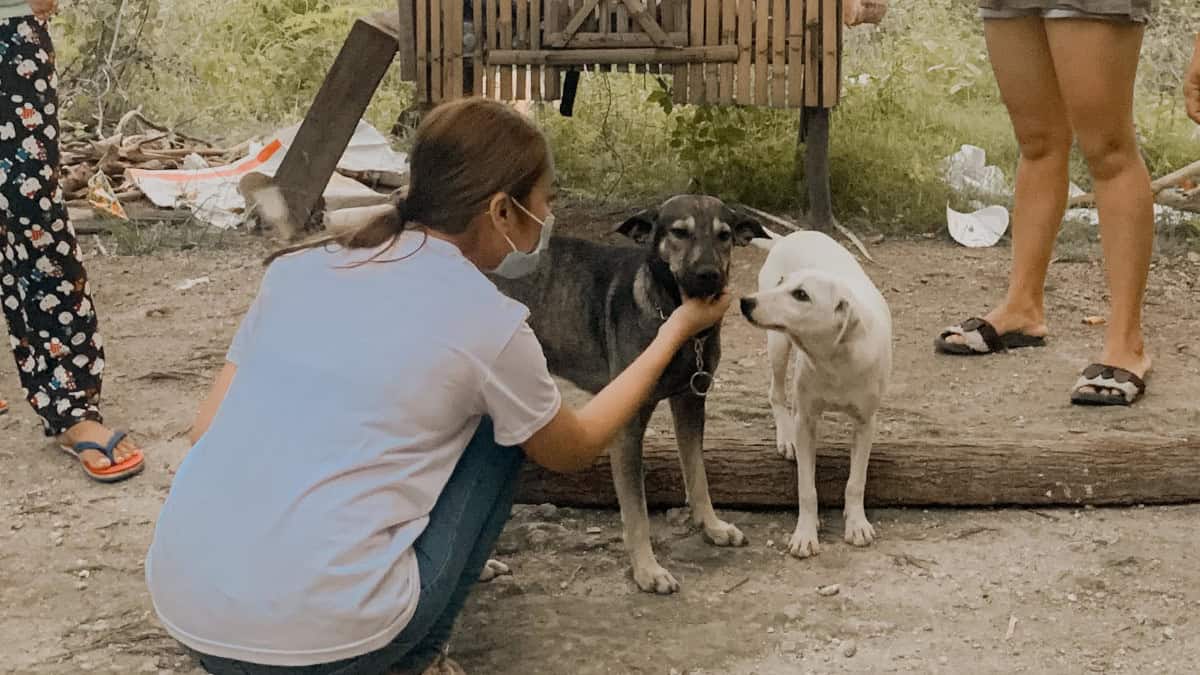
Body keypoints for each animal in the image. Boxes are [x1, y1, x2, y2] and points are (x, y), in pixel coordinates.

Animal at [739, 228, 892, 554]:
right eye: (783, 283)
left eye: (801, 295)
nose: (745, 302)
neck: (833, 360)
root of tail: (789, 235)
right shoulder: (806, 422)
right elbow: (806, 488)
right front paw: (805, 533)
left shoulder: (865, 424)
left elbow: (856, 481)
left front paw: (856, 523)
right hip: (777, 344)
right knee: (776, 393)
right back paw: (785, 438)